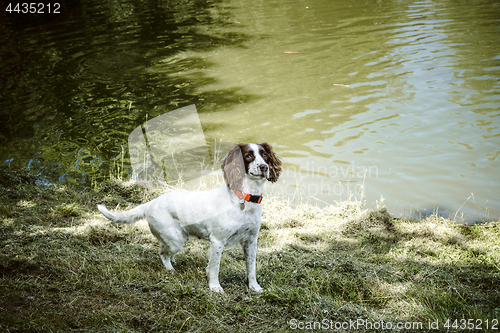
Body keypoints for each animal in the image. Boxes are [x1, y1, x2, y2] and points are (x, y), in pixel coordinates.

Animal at [97, 141, 282, 292]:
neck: (244, 198)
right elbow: (215, 267)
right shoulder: (217, 241)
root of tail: (150, 203)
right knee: (162, 253)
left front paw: (254, 287)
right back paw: (170, 269)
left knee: (165, 251)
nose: (264, 167)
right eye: (249, 156)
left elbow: (251, 268)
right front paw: (215, 287)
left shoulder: (251, 241)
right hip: (176, 240)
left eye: (265, 155)